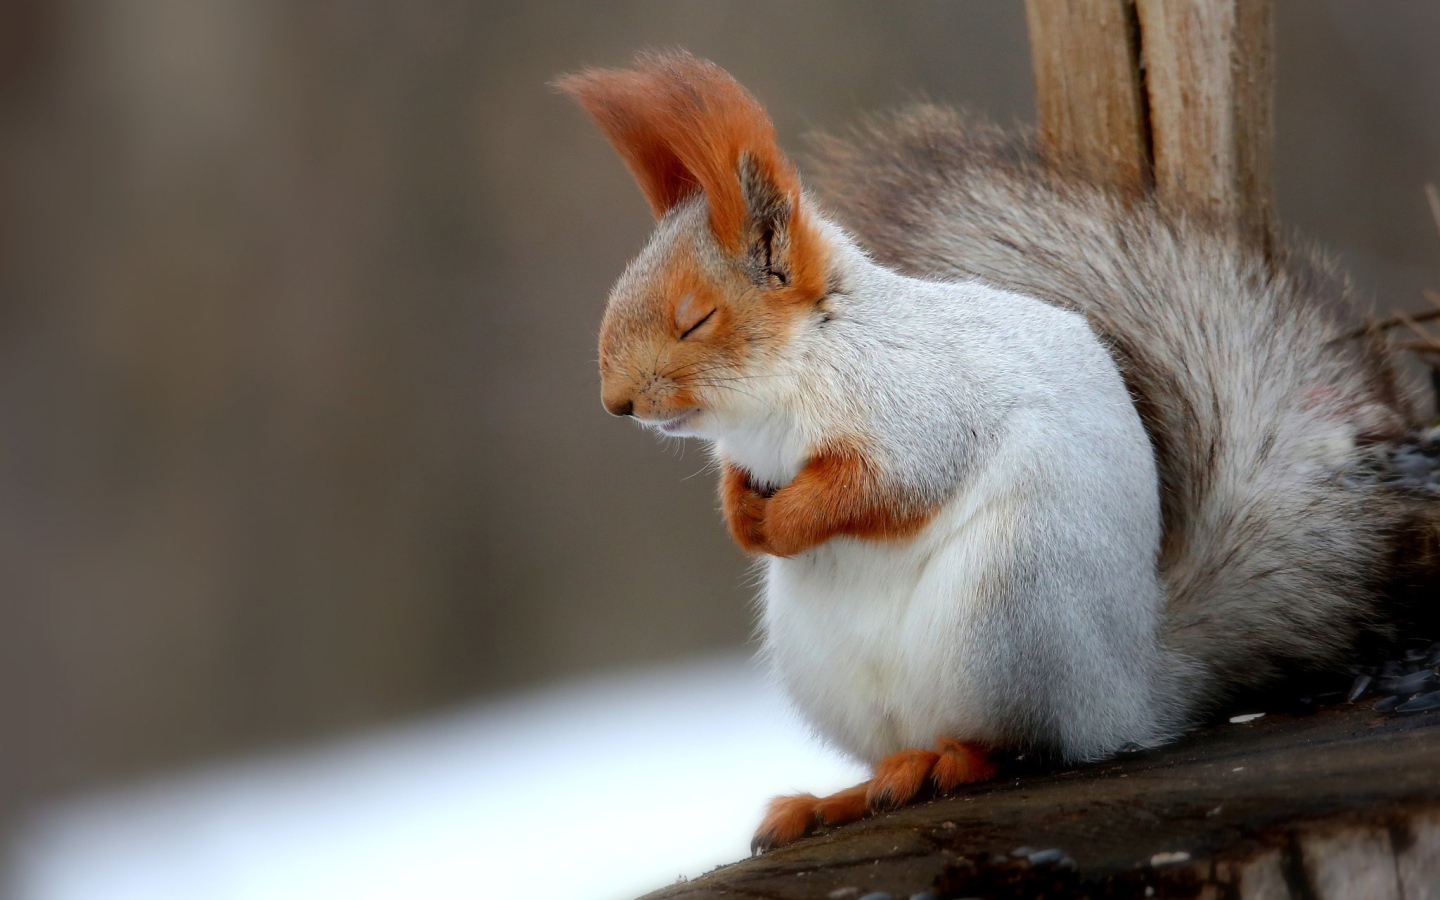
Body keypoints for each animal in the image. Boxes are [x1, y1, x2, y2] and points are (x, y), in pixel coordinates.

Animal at [555, 48, 1440, 846]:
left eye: (696, 319)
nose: (616, 403)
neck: (783, 390)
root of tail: (1129, 689)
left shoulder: (923, 414)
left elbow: (880, 489)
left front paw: (789, 520)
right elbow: (743, 485)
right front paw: (745, 520)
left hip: (1011, 605)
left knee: (1025, 744)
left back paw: (948, 763)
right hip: (834, 667)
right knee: (908, 747)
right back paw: (840, 797)